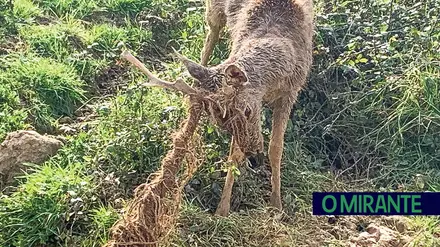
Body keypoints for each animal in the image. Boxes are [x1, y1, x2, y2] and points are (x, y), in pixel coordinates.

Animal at [122, 0, 314, 216]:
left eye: (247, 110)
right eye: (222, 123)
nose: (254, 154)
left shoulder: (291, 91)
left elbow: (276, 148)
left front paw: (276, 204)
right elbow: (234, 155)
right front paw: (222, 209)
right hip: (213, 12)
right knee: (208, 43)